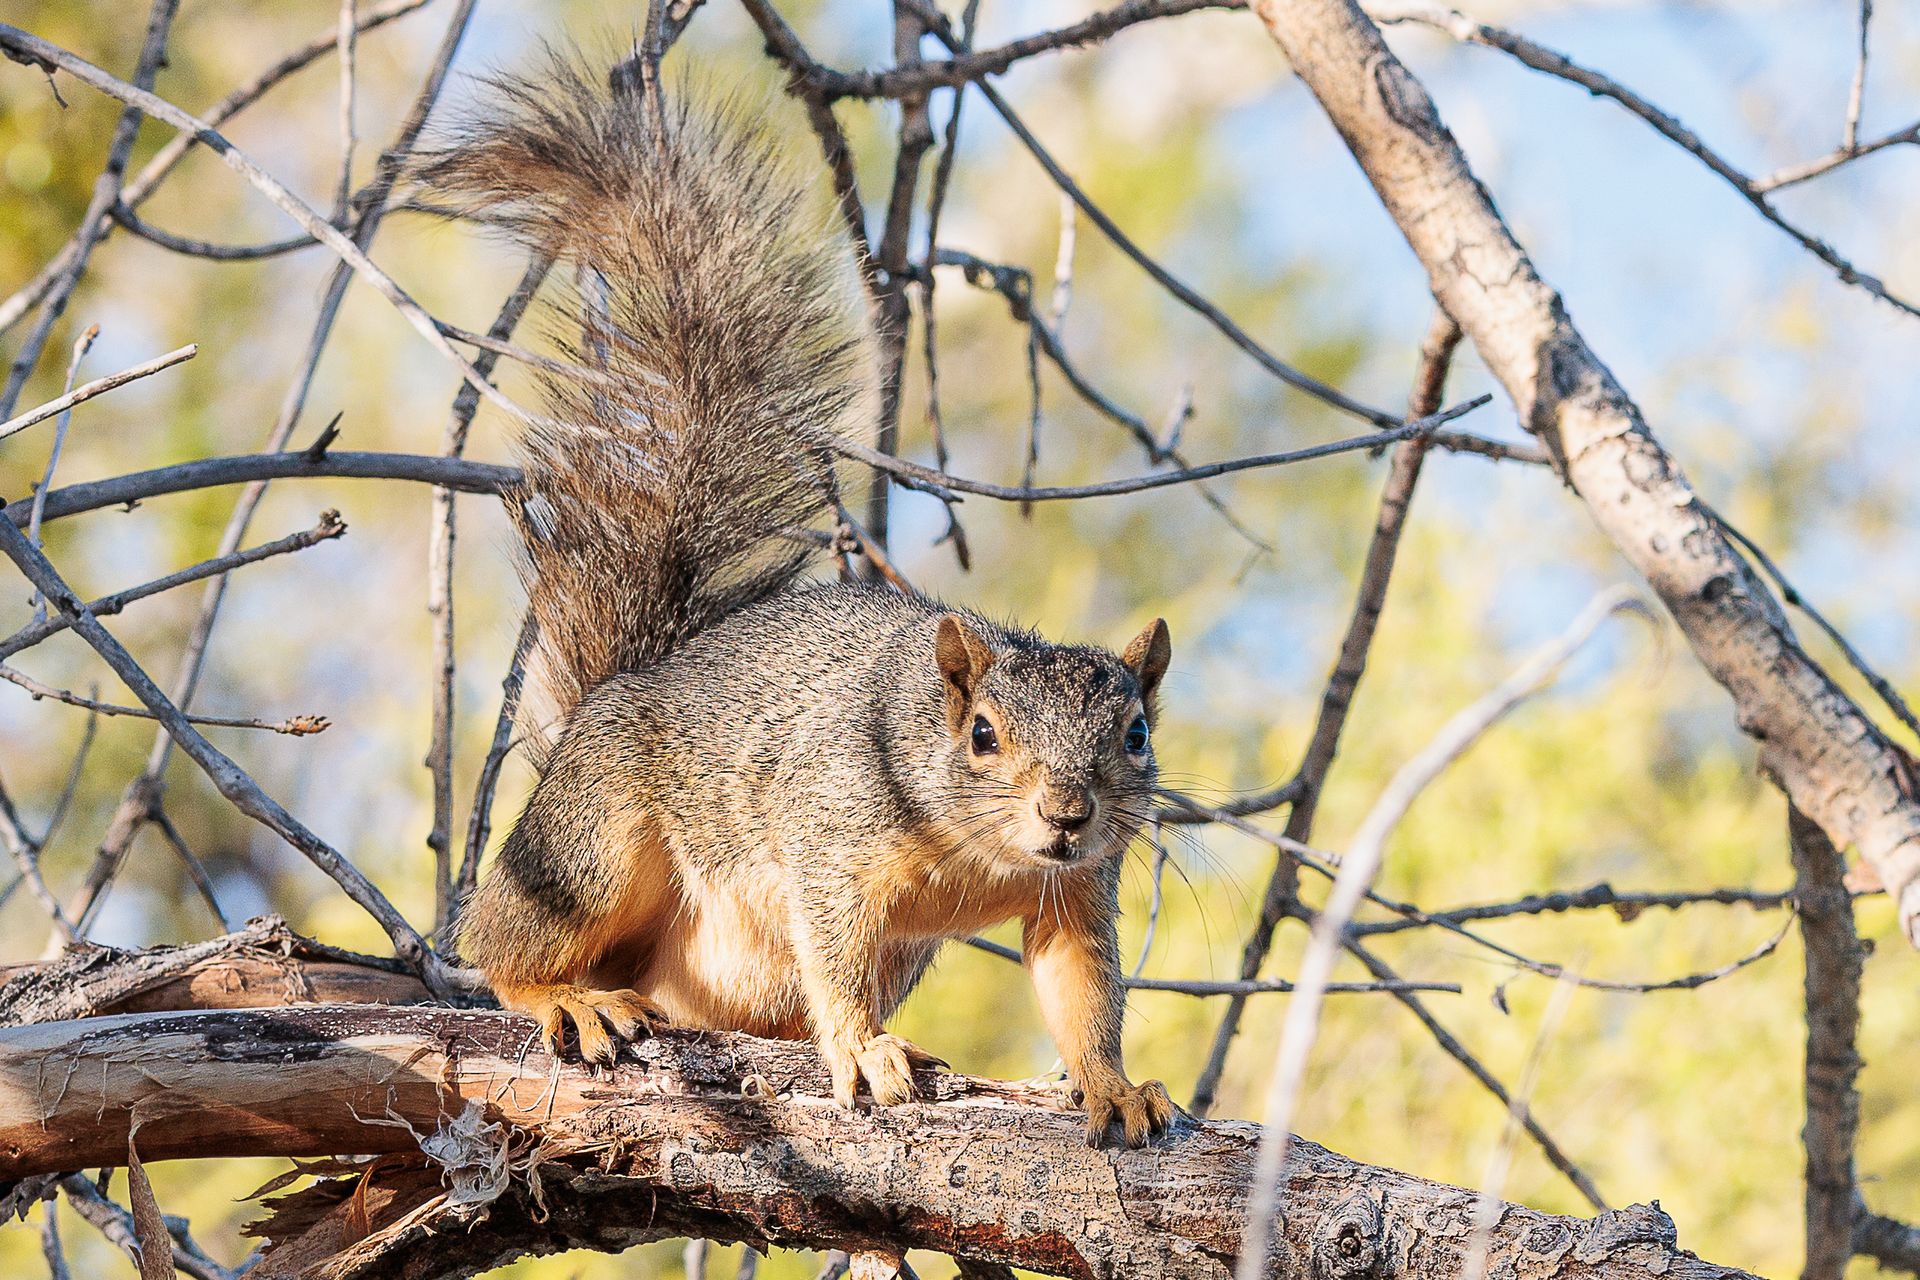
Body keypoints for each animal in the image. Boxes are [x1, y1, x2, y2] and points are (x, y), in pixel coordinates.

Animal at [419, 60, 1178, 1147]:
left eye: (1136, 734)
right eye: (983, 734)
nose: (1067, 813)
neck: (980, 847)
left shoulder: (1073, 887)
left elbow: (1083, 989)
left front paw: (1112, 1085)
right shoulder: (829, 837)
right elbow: (833, 949)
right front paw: (861, 1048)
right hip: (595, 843)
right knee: (501, 945)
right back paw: (565, 996)